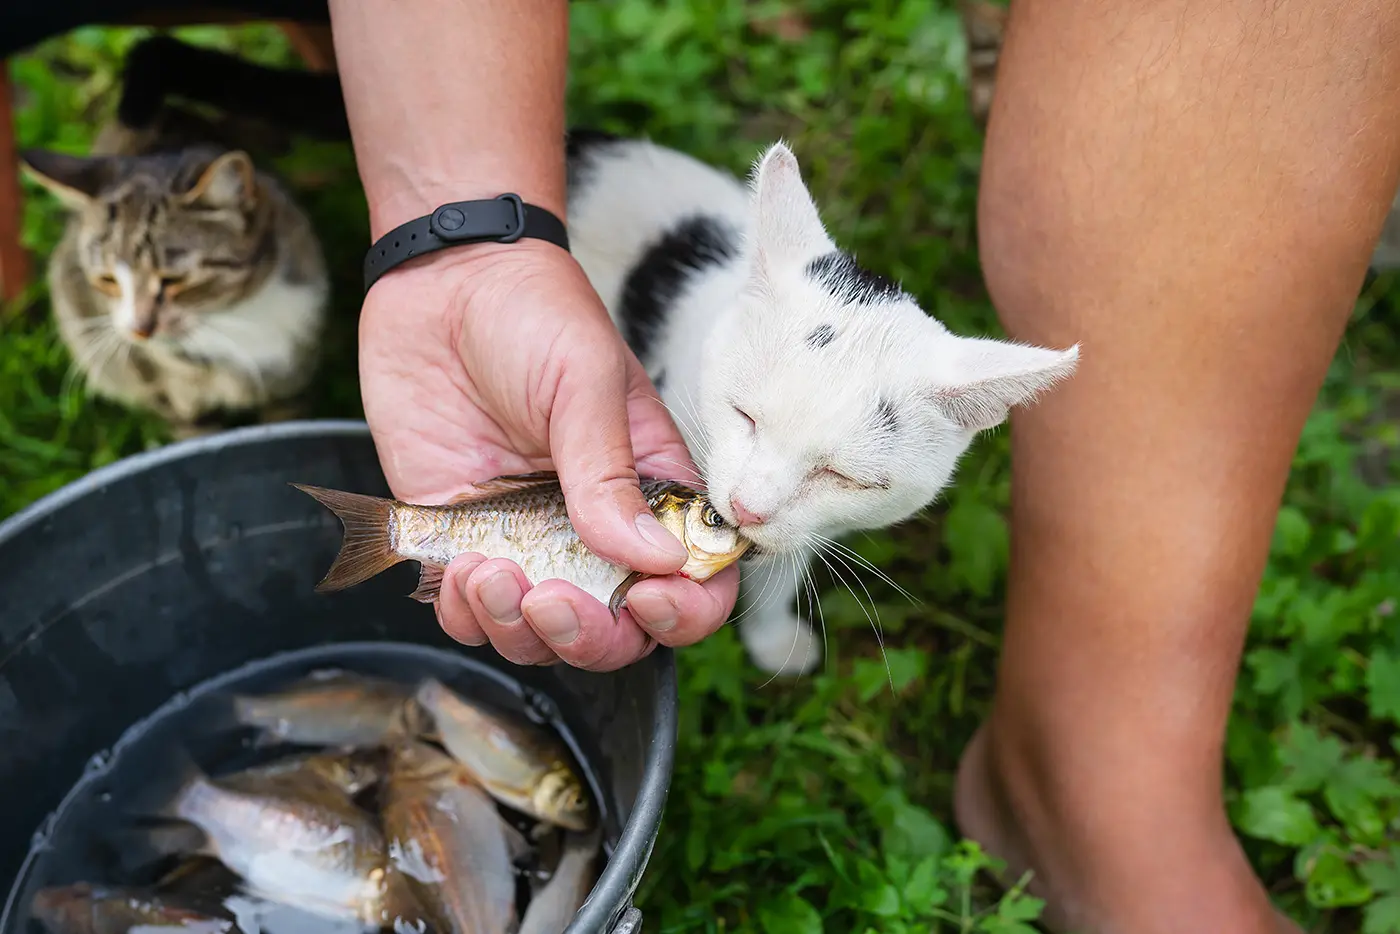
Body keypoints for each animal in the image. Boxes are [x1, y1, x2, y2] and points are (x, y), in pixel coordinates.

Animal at [19, 41, 330, 442]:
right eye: (107, 280)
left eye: (173, 280)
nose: (139, 330)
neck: (237, 319)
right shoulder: (168, 388)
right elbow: (195, 430)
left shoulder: (293, 377)